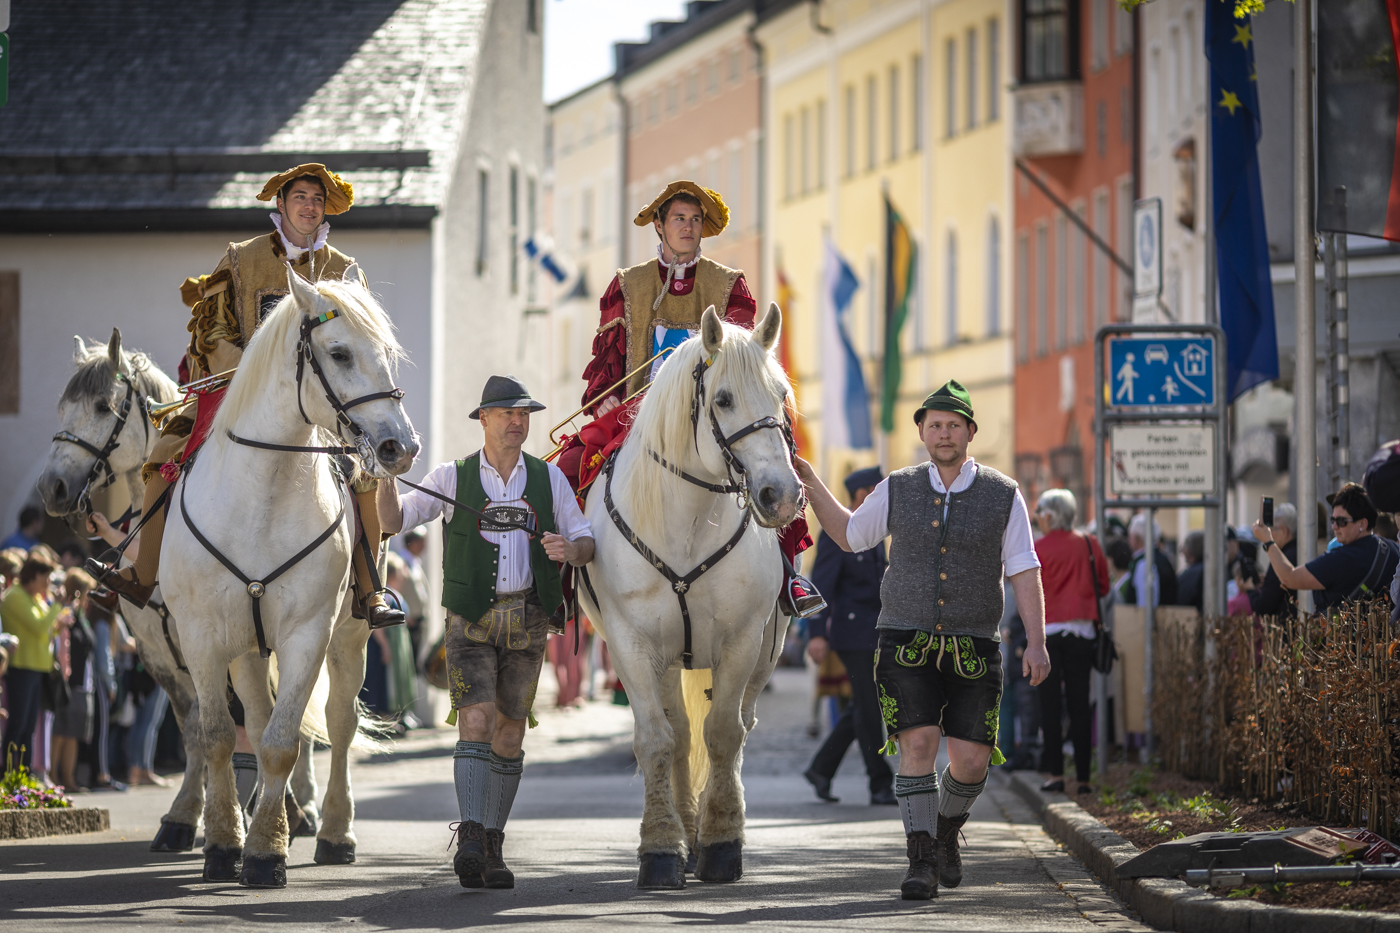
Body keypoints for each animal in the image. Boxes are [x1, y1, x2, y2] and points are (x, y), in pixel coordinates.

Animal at [36, 330, 327, 846]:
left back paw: (306, 806)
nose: (53, 489)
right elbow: (196, 728)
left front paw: (226, 814)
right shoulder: (163, 654)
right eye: (63, 407)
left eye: (101, 406)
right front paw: (195, 814)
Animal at [160, 268, 414, 885]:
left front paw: (265, 852)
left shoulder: (306, 634)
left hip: (349, 638)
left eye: (387, 355)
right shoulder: (204, 637)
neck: (261, 495)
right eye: (339, 352)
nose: (401, 447)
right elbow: (218, 736)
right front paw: (224, 844)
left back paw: (334, 832)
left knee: (338, 724)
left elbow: (282, 742)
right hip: (247, 648)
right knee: (251, 718)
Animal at [576, 303, 800, 885]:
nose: (781, 495)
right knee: (677, 731)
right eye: (722, 399)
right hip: (669, 657)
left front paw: (721, 843)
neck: (688, 521)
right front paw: (660, 847)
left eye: (781, 394)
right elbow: (657, 739)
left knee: (739, 724)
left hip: (765, 650)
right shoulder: (632, 645)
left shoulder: (743, 641)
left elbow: (722, 733)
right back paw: (684, 829)